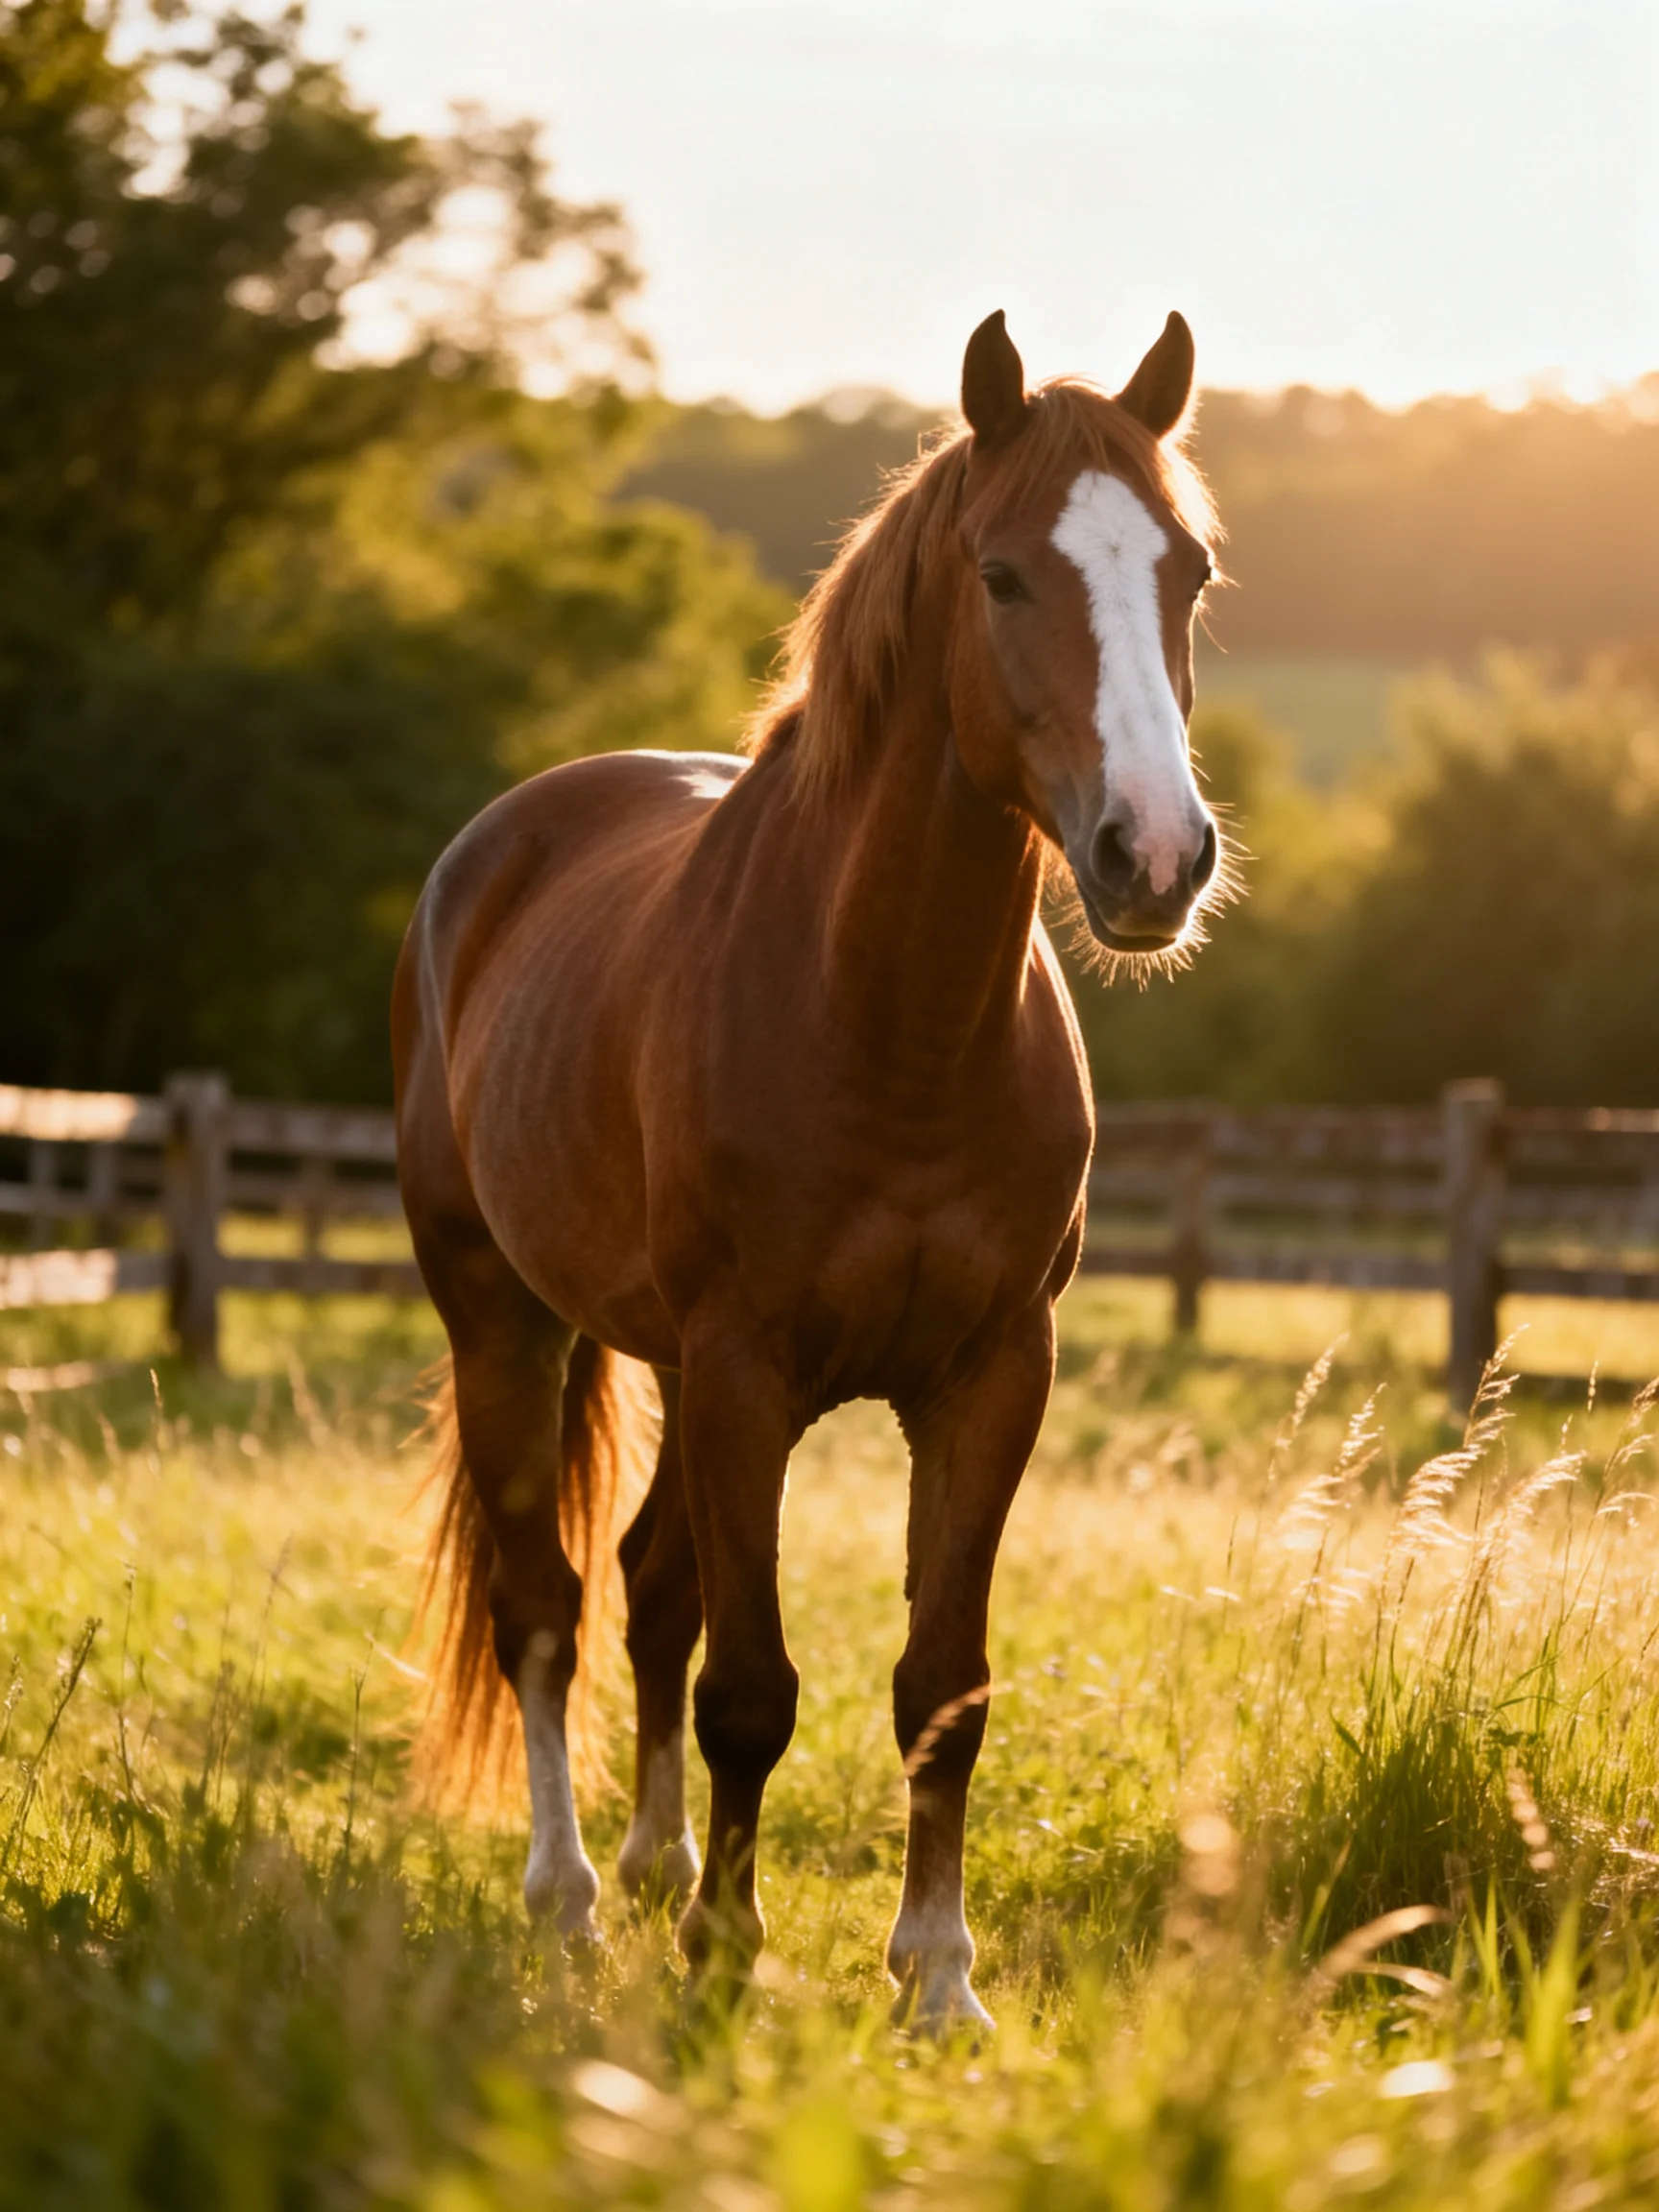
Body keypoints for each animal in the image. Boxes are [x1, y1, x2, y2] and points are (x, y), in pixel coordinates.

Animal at [393, 308, 1223, 2031]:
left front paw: (936, 1979)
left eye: (1187, 570)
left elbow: (943, 1685)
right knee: (545, 1610)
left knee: (646, 1581)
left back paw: (648, 1863)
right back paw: (573, 1897)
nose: (1156, 858)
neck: (887, 1017)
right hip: (503, 1317)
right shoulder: (742, 1366)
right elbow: (752, 1688)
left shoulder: (991, 1372)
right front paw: (726, 1953)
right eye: (1002, 575)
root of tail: (498, 846)